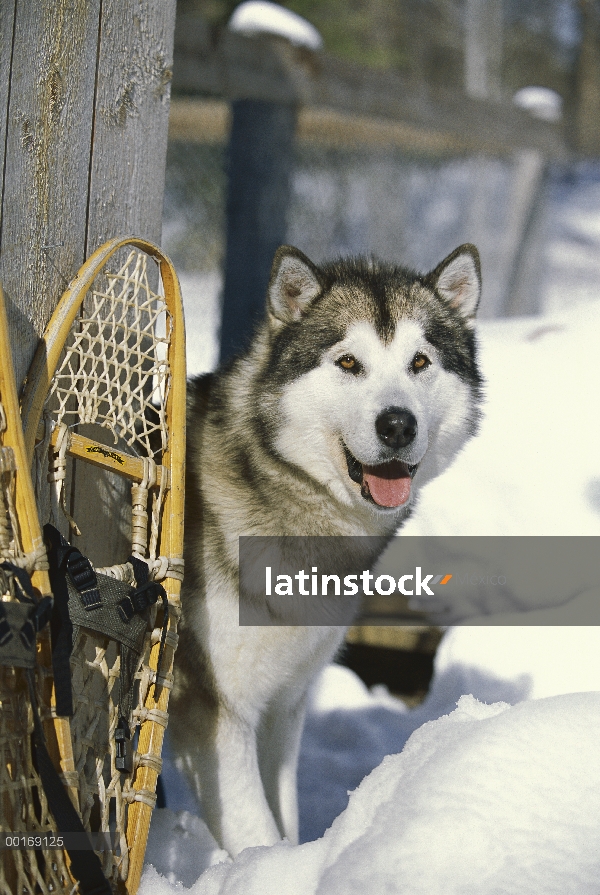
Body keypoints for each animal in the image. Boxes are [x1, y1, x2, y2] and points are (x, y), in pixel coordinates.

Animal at [169, 242, 482, 856]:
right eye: (348, 363)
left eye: (419, 363)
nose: (397, 424)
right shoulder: (216, 720)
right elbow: (257, 832)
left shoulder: (284, 708)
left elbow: (284, 822)